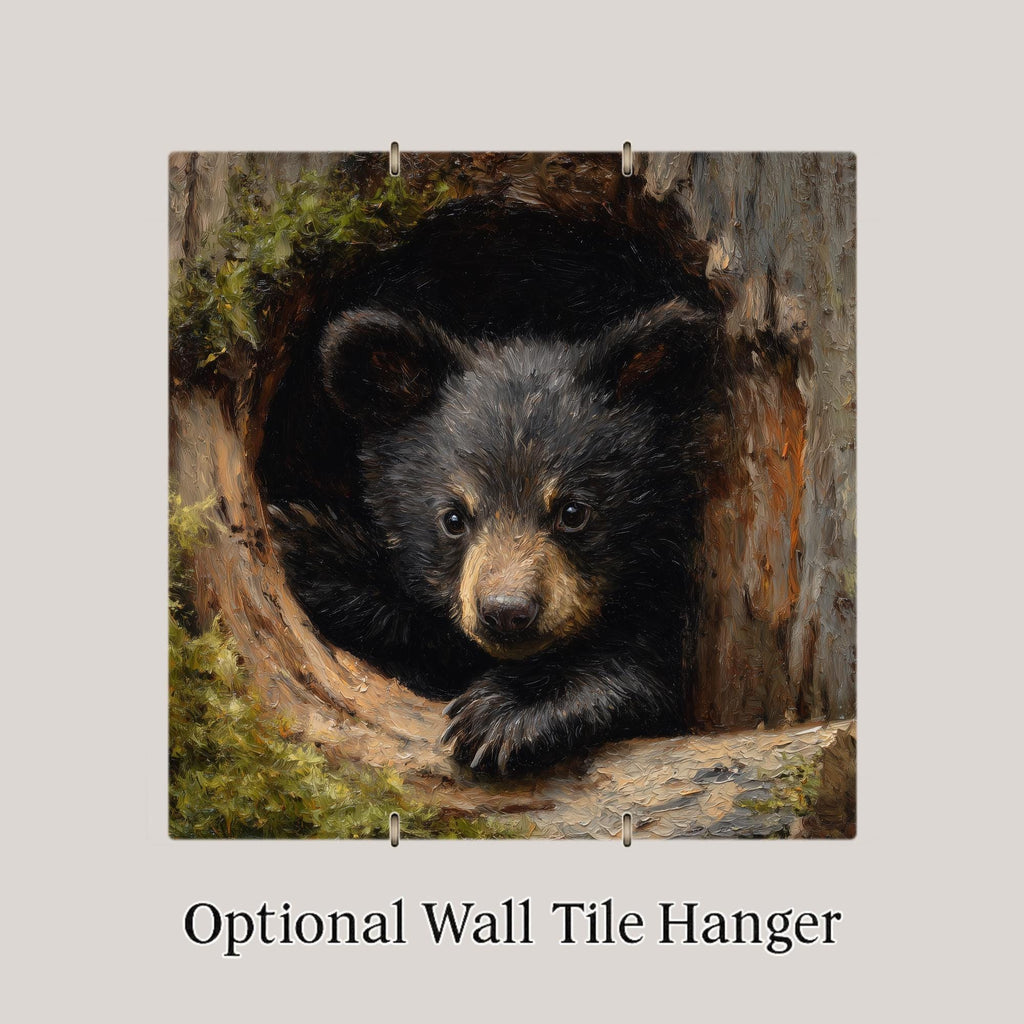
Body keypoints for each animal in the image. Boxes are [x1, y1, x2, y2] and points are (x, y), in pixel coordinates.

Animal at [269, 296, 720, 775]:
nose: (506, 611)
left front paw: (503, 713)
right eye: (453, 519)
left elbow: (642, 672)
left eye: (573, 512)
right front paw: (309, 546)